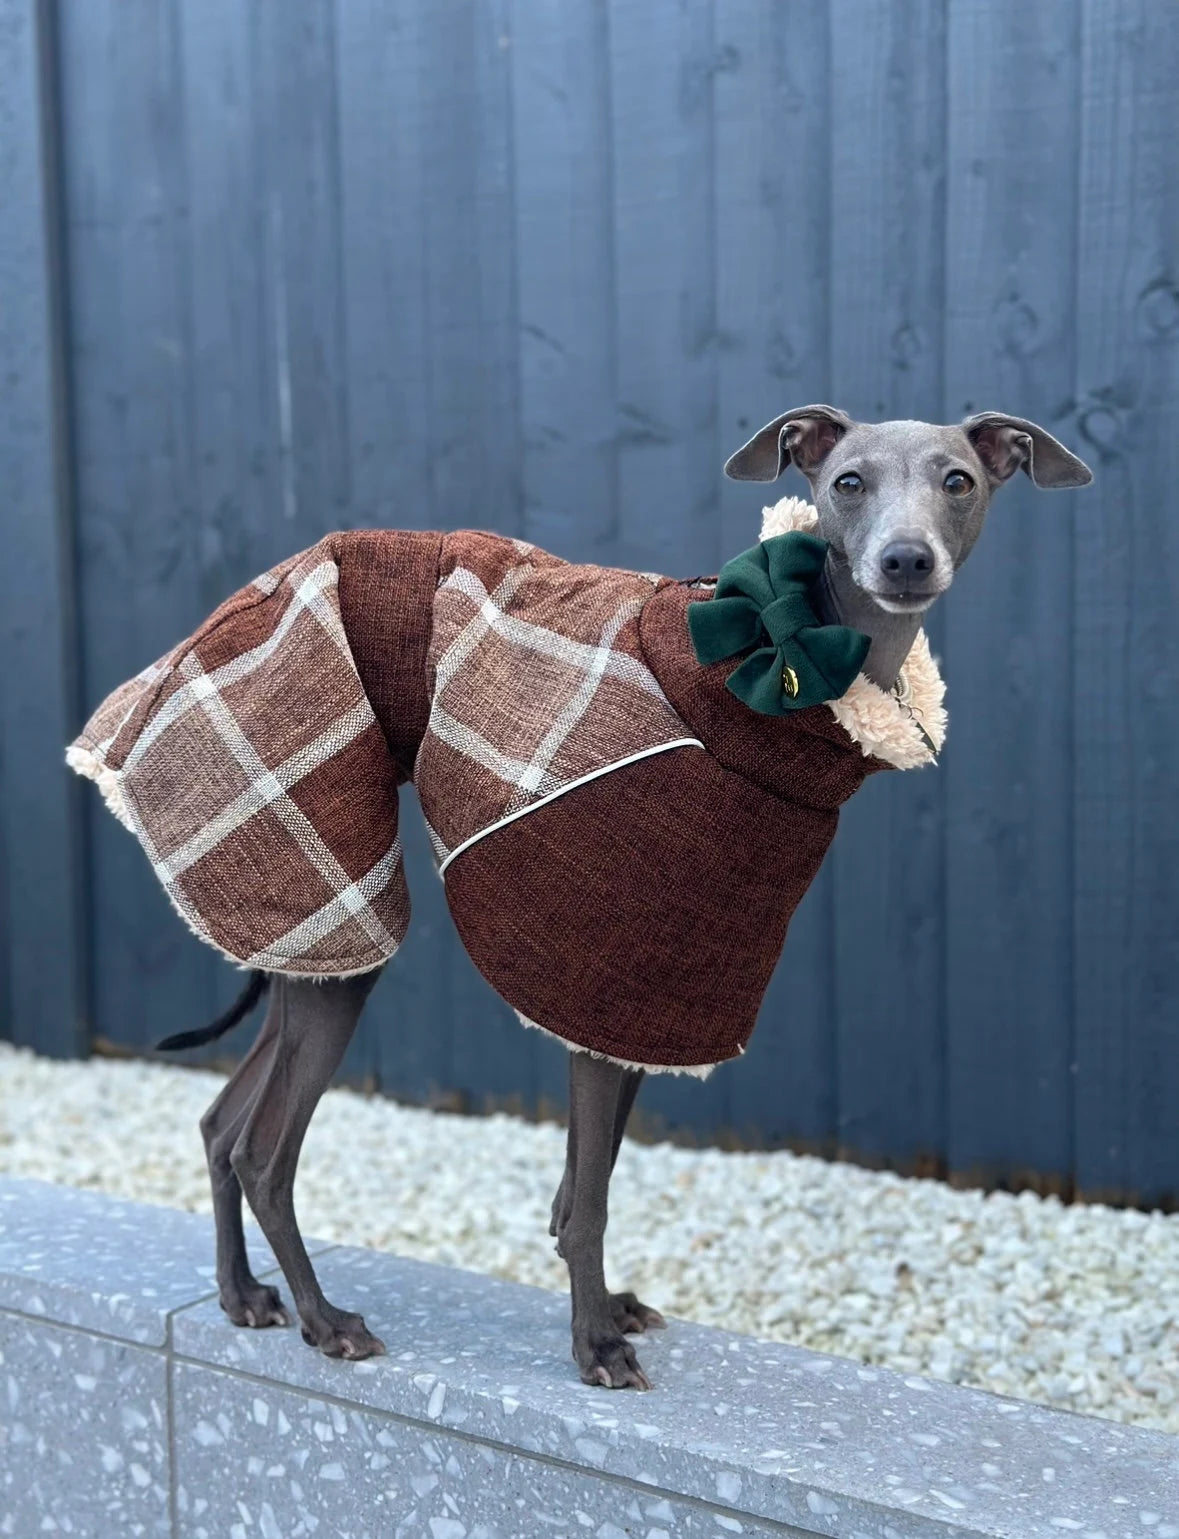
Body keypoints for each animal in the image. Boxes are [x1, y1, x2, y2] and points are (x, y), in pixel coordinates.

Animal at [161, 403, 1095, 1391]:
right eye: (848, 481)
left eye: (958, 480)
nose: (905, 561)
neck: (764, 657)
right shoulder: (599, 986)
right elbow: (589, 1203)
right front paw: (595, 1345)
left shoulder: (653, 994)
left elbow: (590, 1174)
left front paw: (607, 1311)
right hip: (329, 905)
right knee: (263, 1154)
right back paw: (322, 1319)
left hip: (314, 946)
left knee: (221, 1124)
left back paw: (242, 1296)